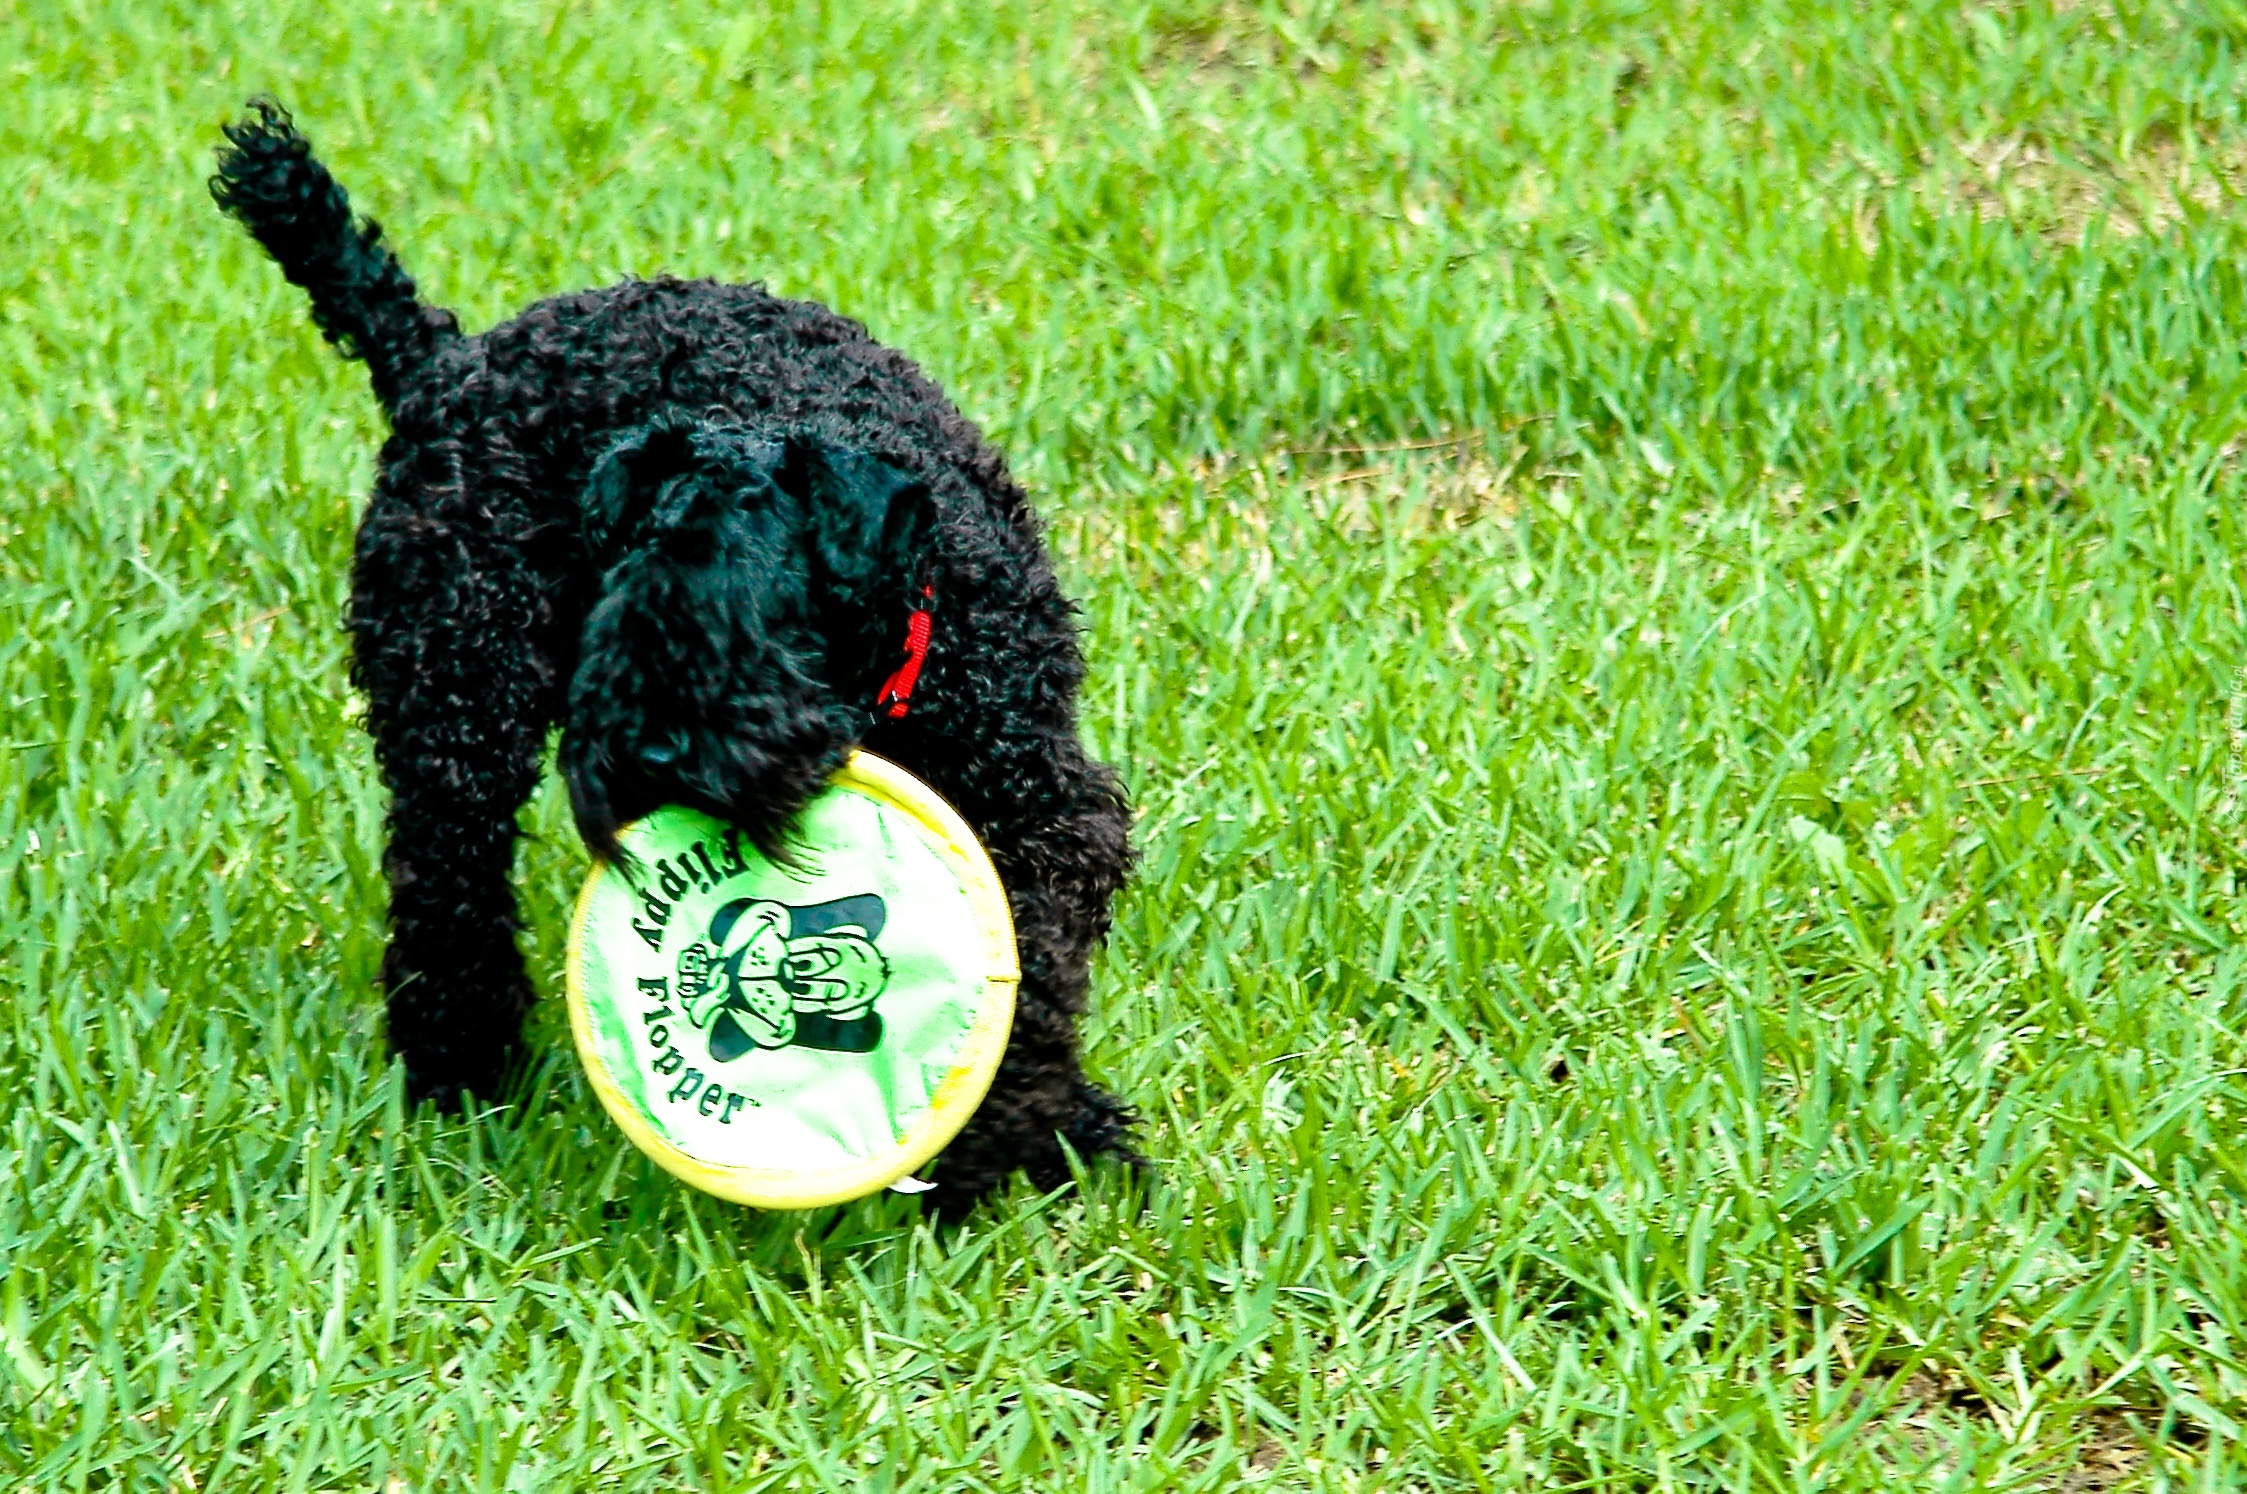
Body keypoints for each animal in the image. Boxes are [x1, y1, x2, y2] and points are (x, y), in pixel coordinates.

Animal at [212, 102, 1141, 1204]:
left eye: (756, 623)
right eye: (617, 600)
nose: (650, 758)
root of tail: (444, 362)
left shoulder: (1047, 813)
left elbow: (1031, 977)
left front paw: (1037, 1139)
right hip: (454, 706)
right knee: (450, 893)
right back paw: (459, 1076)